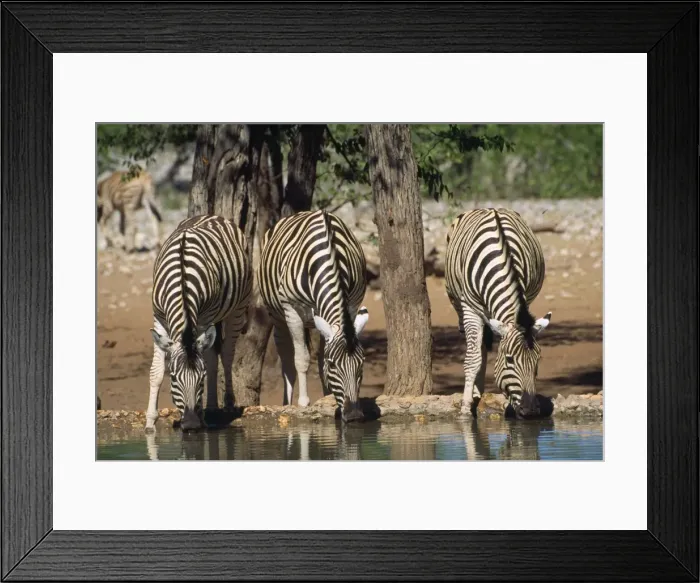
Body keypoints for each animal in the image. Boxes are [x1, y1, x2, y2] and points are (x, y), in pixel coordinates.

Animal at [146, 215, 253, 432]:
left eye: (201, 379)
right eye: (174, 378)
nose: (191, 425)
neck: (182, 280)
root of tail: (213, 216)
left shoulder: (204, 318)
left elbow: (210, 363)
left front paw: (203, 415)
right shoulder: (158, 317)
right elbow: (156, 371)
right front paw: (150, 420)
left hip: (238, 306)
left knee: (225, 354)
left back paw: (221, 404)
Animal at [258, 209, 369, 423]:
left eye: (361, 365)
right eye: (333, 366)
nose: (354, 416)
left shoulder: (351, 305)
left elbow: (320, 359)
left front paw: (328, 400)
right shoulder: (292, 311)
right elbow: (301, 359)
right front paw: (303, 403)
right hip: (278, 317)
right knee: (287, 360)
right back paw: (287, 403)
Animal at [444, 208, 552, 418]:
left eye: (537, 360)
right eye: (509, 360)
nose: (530, 412)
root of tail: (489, 208)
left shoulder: (525, 297)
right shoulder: (470, 308)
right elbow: (473, 359)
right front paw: (465, 409)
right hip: (457, 303)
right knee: (477, 348)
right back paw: (474, 393)